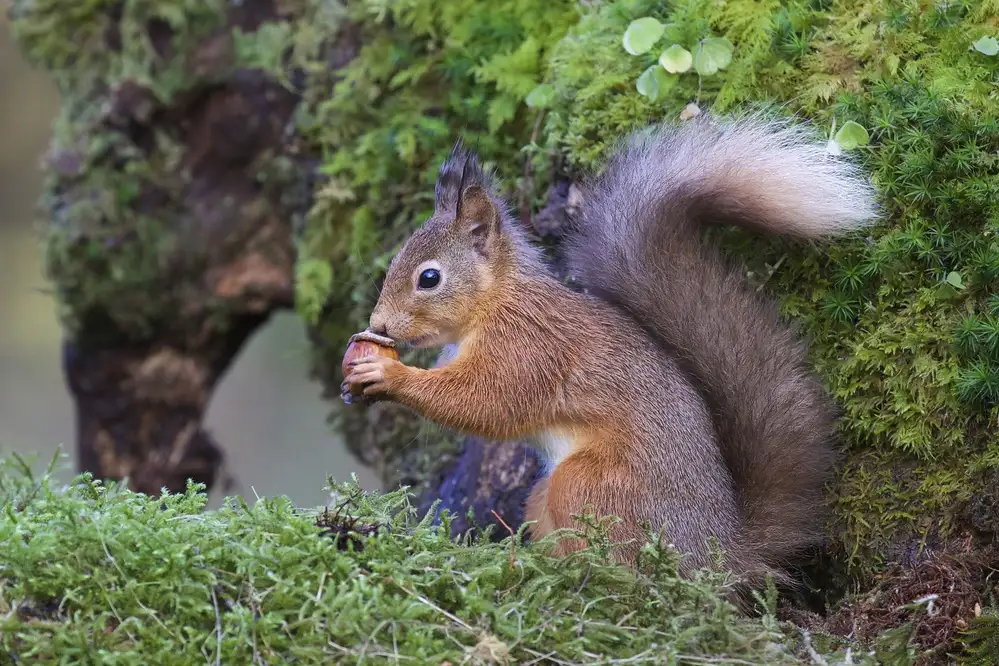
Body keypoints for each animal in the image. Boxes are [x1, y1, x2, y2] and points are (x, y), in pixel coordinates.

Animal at [343, 113, 879, 597]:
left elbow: (486, 403)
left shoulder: (530, 349)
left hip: (589, 485)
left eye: (429, 278)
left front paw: (388, 373)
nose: (379, 326)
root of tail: (717, 556)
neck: (496, 303)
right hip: (546, 495)